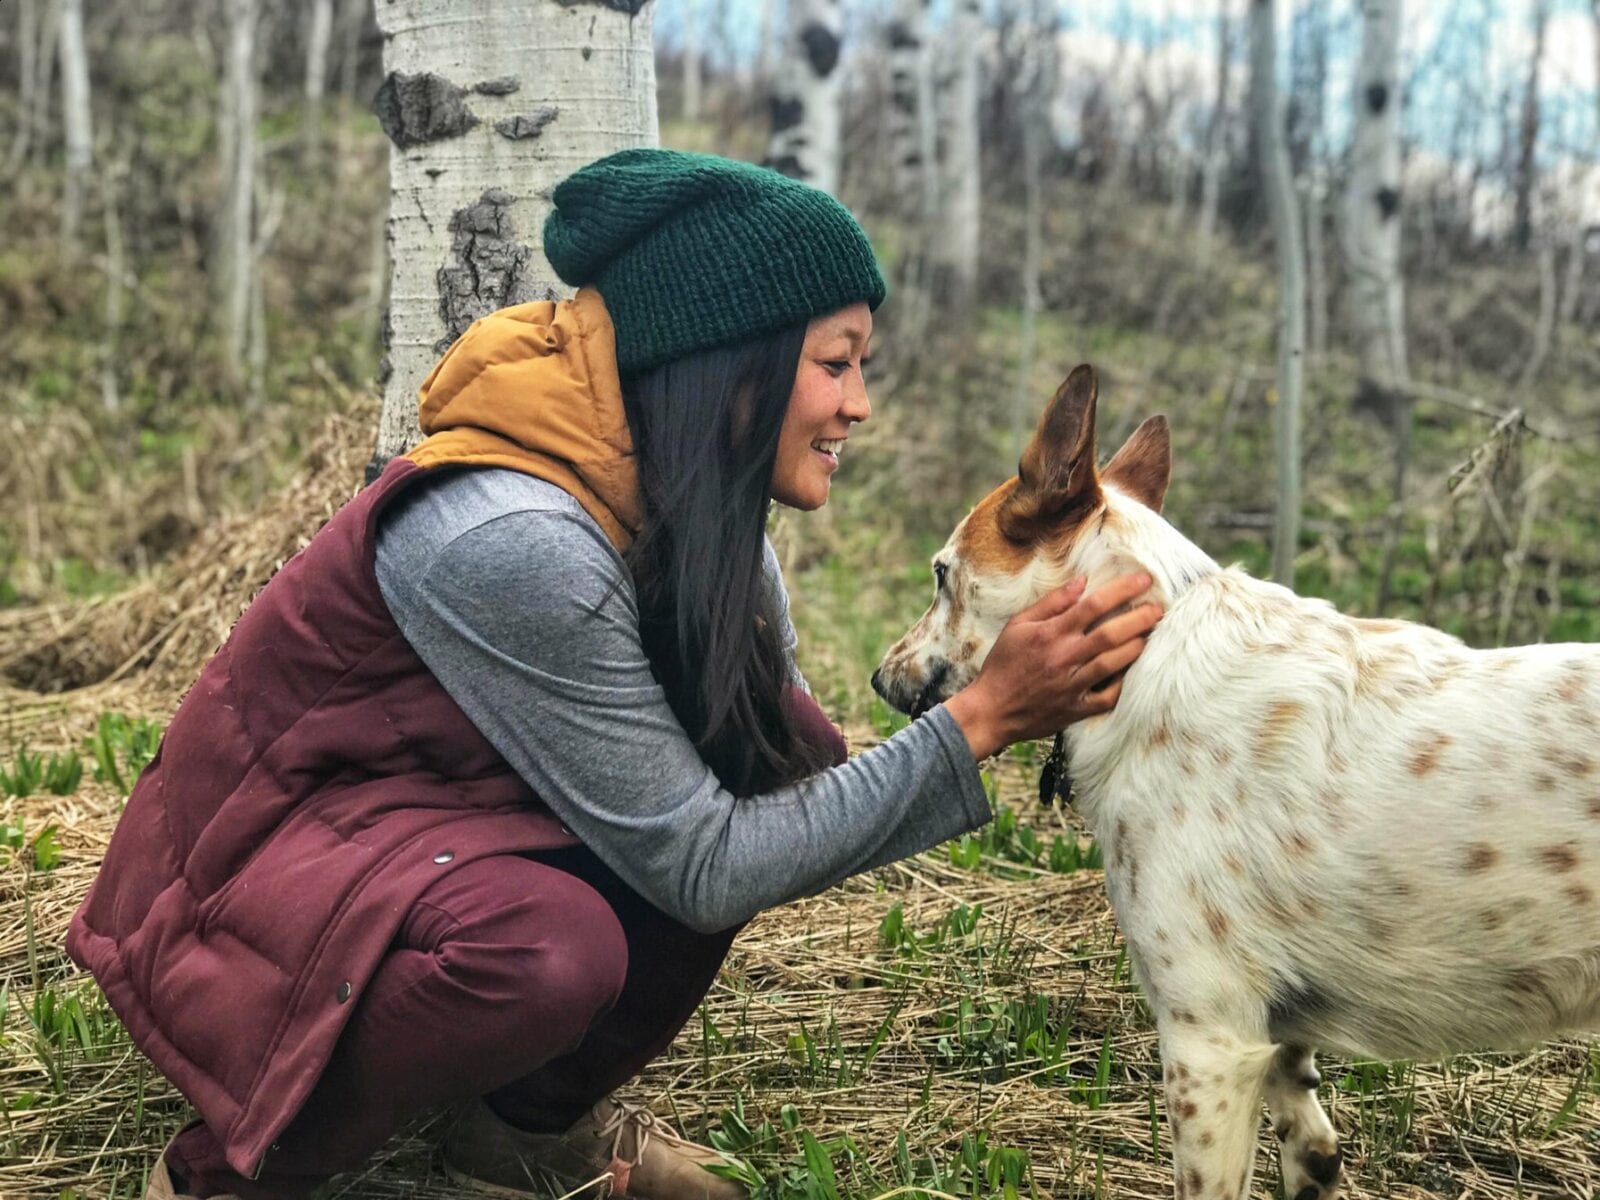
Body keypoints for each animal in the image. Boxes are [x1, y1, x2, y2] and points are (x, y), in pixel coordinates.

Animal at [876, 366, 1600, 1200]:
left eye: (941, 576)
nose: (881, 677)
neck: (1147, 652)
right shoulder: (1273, 1041)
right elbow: (1308, 1134)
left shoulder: (1208, 1042)